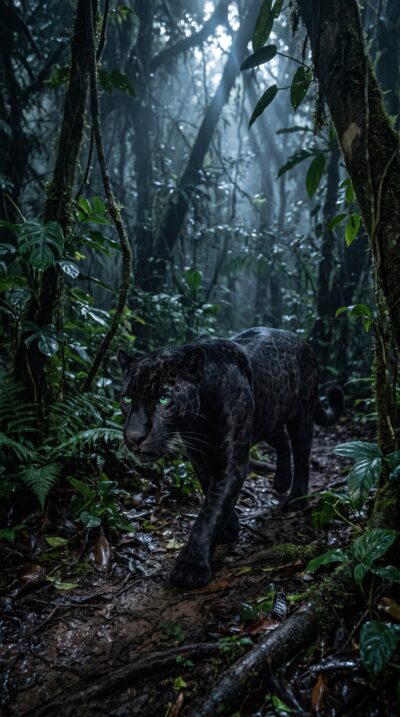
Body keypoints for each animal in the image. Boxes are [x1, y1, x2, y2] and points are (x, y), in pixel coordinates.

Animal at [118, 327, 343, 590]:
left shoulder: (232, 462)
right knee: (282, 443)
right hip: (269, 416)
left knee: (301, 452)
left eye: (163, 399)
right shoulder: (200, 458)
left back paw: (296, 497)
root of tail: (303, 341)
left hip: (302, 414)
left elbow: (211, 511)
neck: (199, 419)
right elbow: (211, 494)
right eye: (127, 399)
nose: (134, 437)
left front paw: (191, 568)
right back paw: (281, 482)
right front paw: (230, 528)